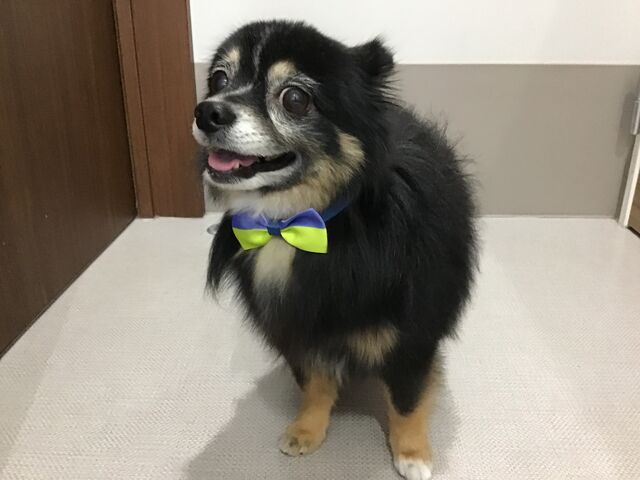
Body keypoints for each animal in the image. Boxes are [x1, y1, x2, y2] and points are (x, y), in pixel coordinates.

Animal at [193, 20, 477, 480]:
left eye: (294, 99)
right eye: (219, 80)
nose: (208, 111)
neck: (295, 223)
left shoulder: (412, 335)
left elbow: (407, 399)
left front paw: (413, 453)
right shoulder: (298, 328)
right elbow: (314, 384)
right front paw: (307, 430)